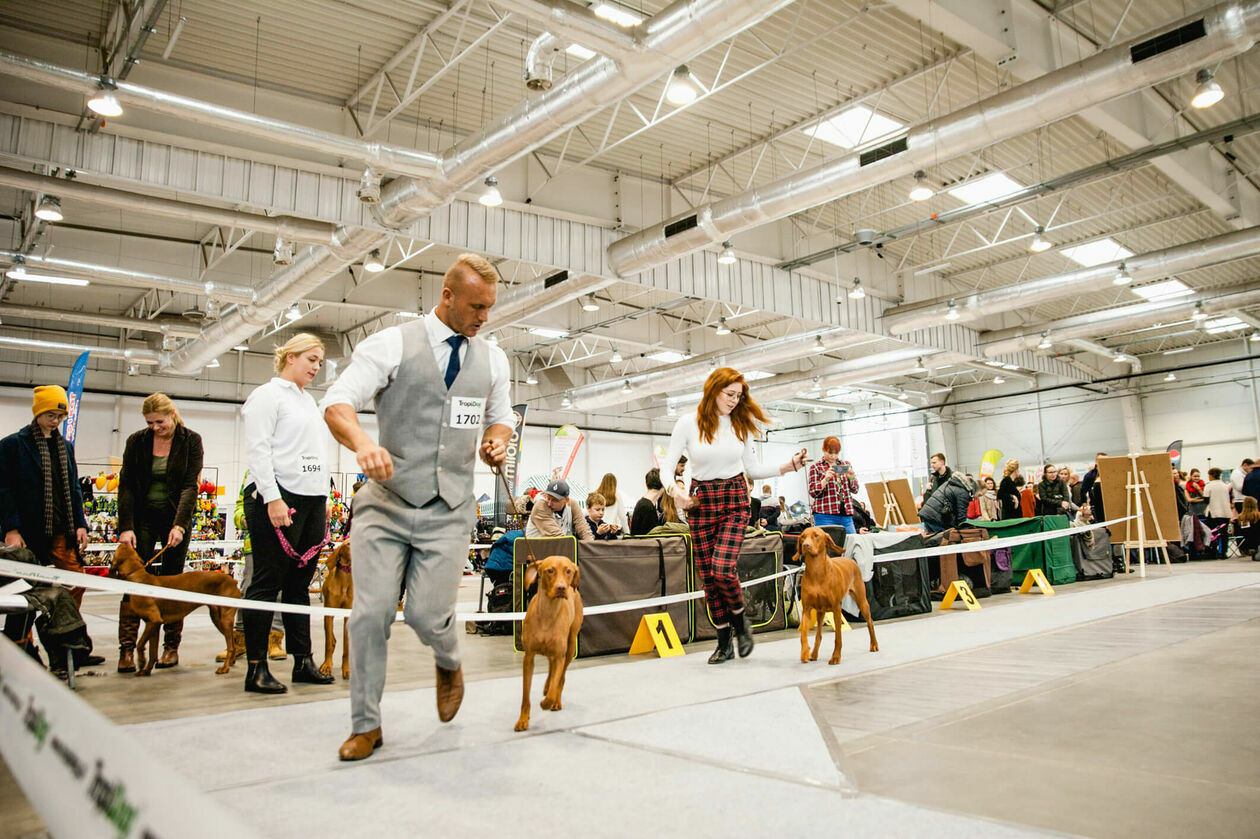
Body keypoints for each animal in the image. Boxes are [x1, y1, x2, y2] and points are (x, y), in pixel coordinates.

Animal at [110, 544, 241, 677]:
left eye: (118, 550)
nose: (124, 542)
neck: (138, 576)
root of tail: (233, 580)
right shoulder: (154, 625)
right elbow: (153, 651)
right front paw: (146, 670)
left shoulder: (154, 621)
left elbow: (140, 644)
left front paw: (141, 662)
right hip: (216, 618)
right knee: (233, 640)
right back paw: (231, 661)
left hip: (225, 618)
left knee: (230, 645)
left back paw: (225, 668)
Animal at [514, 556, 582, 732]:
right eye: (550, 570)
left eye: (568, 571)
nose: (562, 588)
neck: (548, 613)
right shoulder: (528, 657)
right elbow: (525, 694)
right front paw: (523, 719)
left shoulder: (560, 655)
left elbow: (554, 686)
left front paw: (548, 702)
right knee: (551, 670)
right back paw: (546, 686)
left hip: (570, 646)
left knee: (561, 677)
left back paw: (555, 700)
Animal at [794, 527, 878, 665]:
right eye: (802, 536)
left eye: (816, 535)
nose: (805, 545)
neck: (816, 572)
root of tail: (851, 560)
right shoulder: (806, 609)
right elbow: (803, 635)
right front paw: (805, 653)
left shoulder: (836, 608)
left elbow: (838, 636)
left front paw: (835, 657)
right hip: (821, 612)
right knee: (818, 634)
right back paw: (814, 654)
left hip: (862, 601)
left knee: (870, 622)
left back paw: (874, 645)